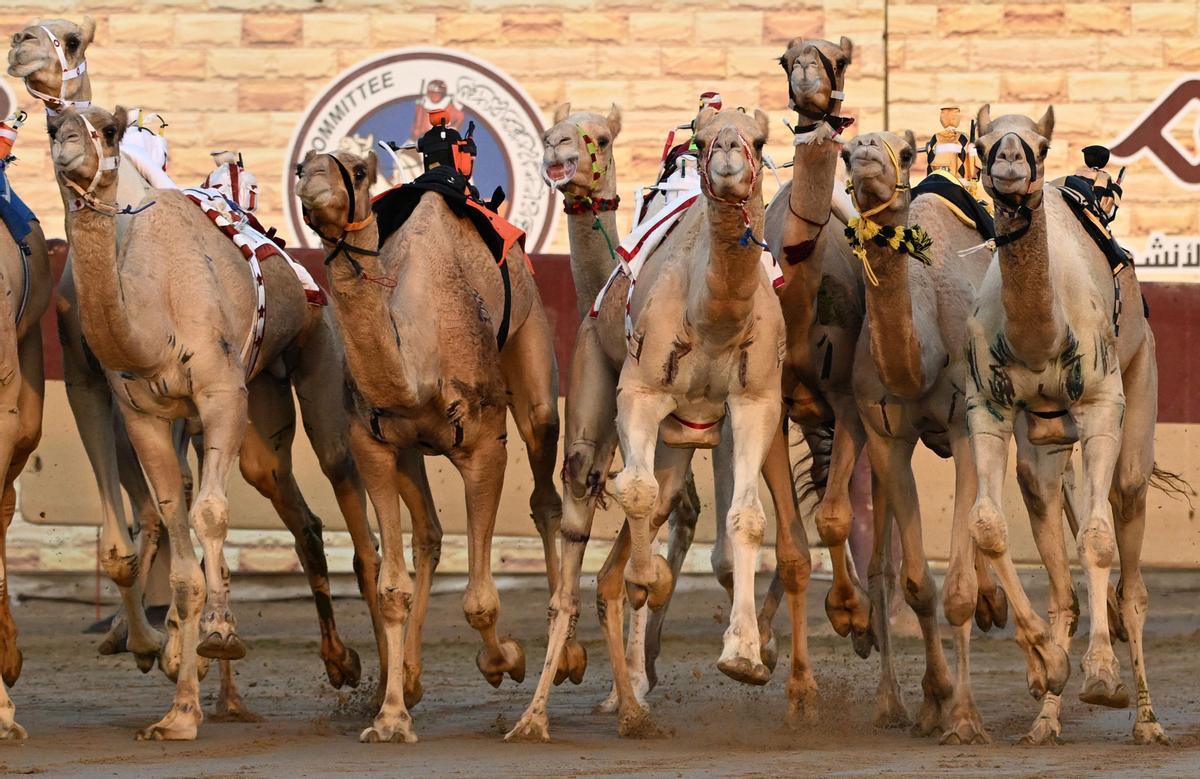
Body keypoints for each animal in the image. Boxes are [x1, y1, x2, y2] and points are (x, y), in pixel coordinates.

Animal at [49, 106, 374, 739]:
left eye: (105, 129)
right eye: (53, 129)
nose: (67, 144)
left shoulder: (221, 395)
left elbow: (212, 516)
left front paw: (218, 635)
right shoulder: (146, 415)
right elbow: (179, 541)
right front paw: (179, 712)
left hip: (317, 359)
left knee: (345, 487)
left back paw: (386, 685)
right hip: (260, 410)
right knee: (299, 515)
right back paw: (327, 666)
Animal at [297, 141, 564, 739]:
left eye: (358, 172)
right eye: (303, 166)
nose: (312, 178)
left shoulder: (486, 448)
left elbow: (479, 602)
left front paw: (506, 661)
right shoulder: (374, 447)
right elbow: (391, 588)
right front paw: (391, 717)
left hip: (533, 348)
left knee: (546, 496)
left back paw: (568, 661)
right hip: (411, 452)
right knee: (430, 534)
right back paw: (412, 680)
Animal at [835, 130, 993, 734]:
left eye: (904, 152)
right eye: (844, 152)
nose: (864, 152)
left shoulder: (968, 428)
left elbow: (959, 590)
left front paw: (965, 718)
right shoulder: (886, 439)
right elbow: (918, 583)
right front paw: (934, 698)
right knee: (883, 564)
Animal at [950, 106, 1166, 744]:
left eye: (1040, 145)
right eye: (983, 143)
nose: (1010, 162)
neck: (1040, 333)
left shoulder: (1101, 406)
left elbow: (1096, 539)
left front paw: (1102, 678)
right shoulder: (987, 407)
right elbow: (987, 527)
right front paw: (1049, 665)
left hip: (1138, 391)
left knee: (1131, 561)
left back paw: (1147, 721)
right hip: (1044, 451)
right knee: (1059, 569)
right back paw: (1045, 720)